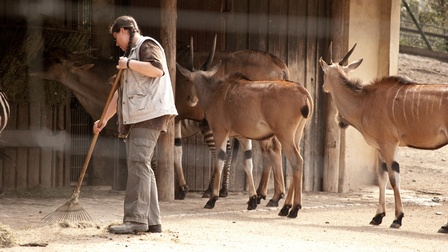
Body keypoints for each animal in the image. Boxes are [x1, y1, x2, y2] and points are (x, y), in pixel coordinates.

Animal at [177, 61, 314, 217]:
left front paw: (212, 199)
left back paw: (293, 208)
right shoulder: (243, 138)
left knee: (296, 161)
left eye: (187, 80)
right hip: (295, 136)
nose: (189, 99)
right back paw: (286, 207)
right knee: (295, 162)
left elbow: (219, 161)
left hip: (284, 136)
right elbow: (248, 164)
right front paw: (252, 200)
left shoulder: (220, 133)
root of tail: (302, 91)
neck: (215, 91)